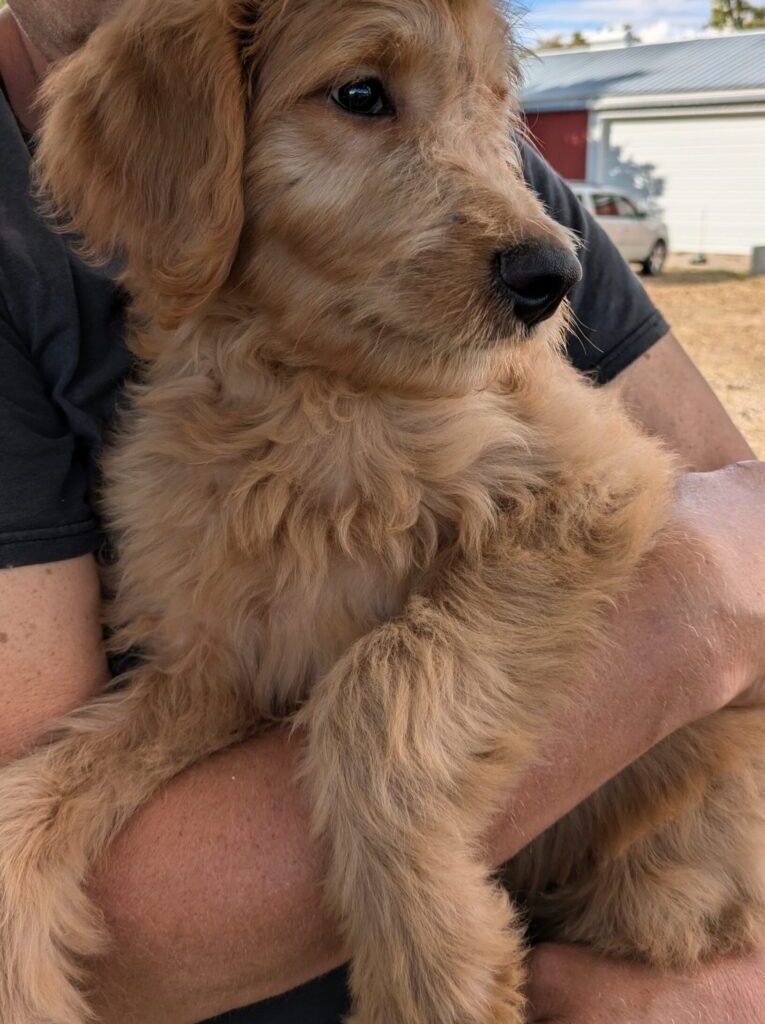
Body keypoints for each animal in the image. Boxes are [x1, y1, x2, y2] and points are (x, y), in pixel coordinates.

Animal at [0, 0, 761, 1019]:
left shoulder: (593, 485)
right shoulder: (223, 660)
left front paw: (434, 959)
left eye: (492, 105)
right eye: (360, 94)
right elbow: (49, 780)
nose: (552, 277)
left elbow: (382, 679)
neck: (318, 397)